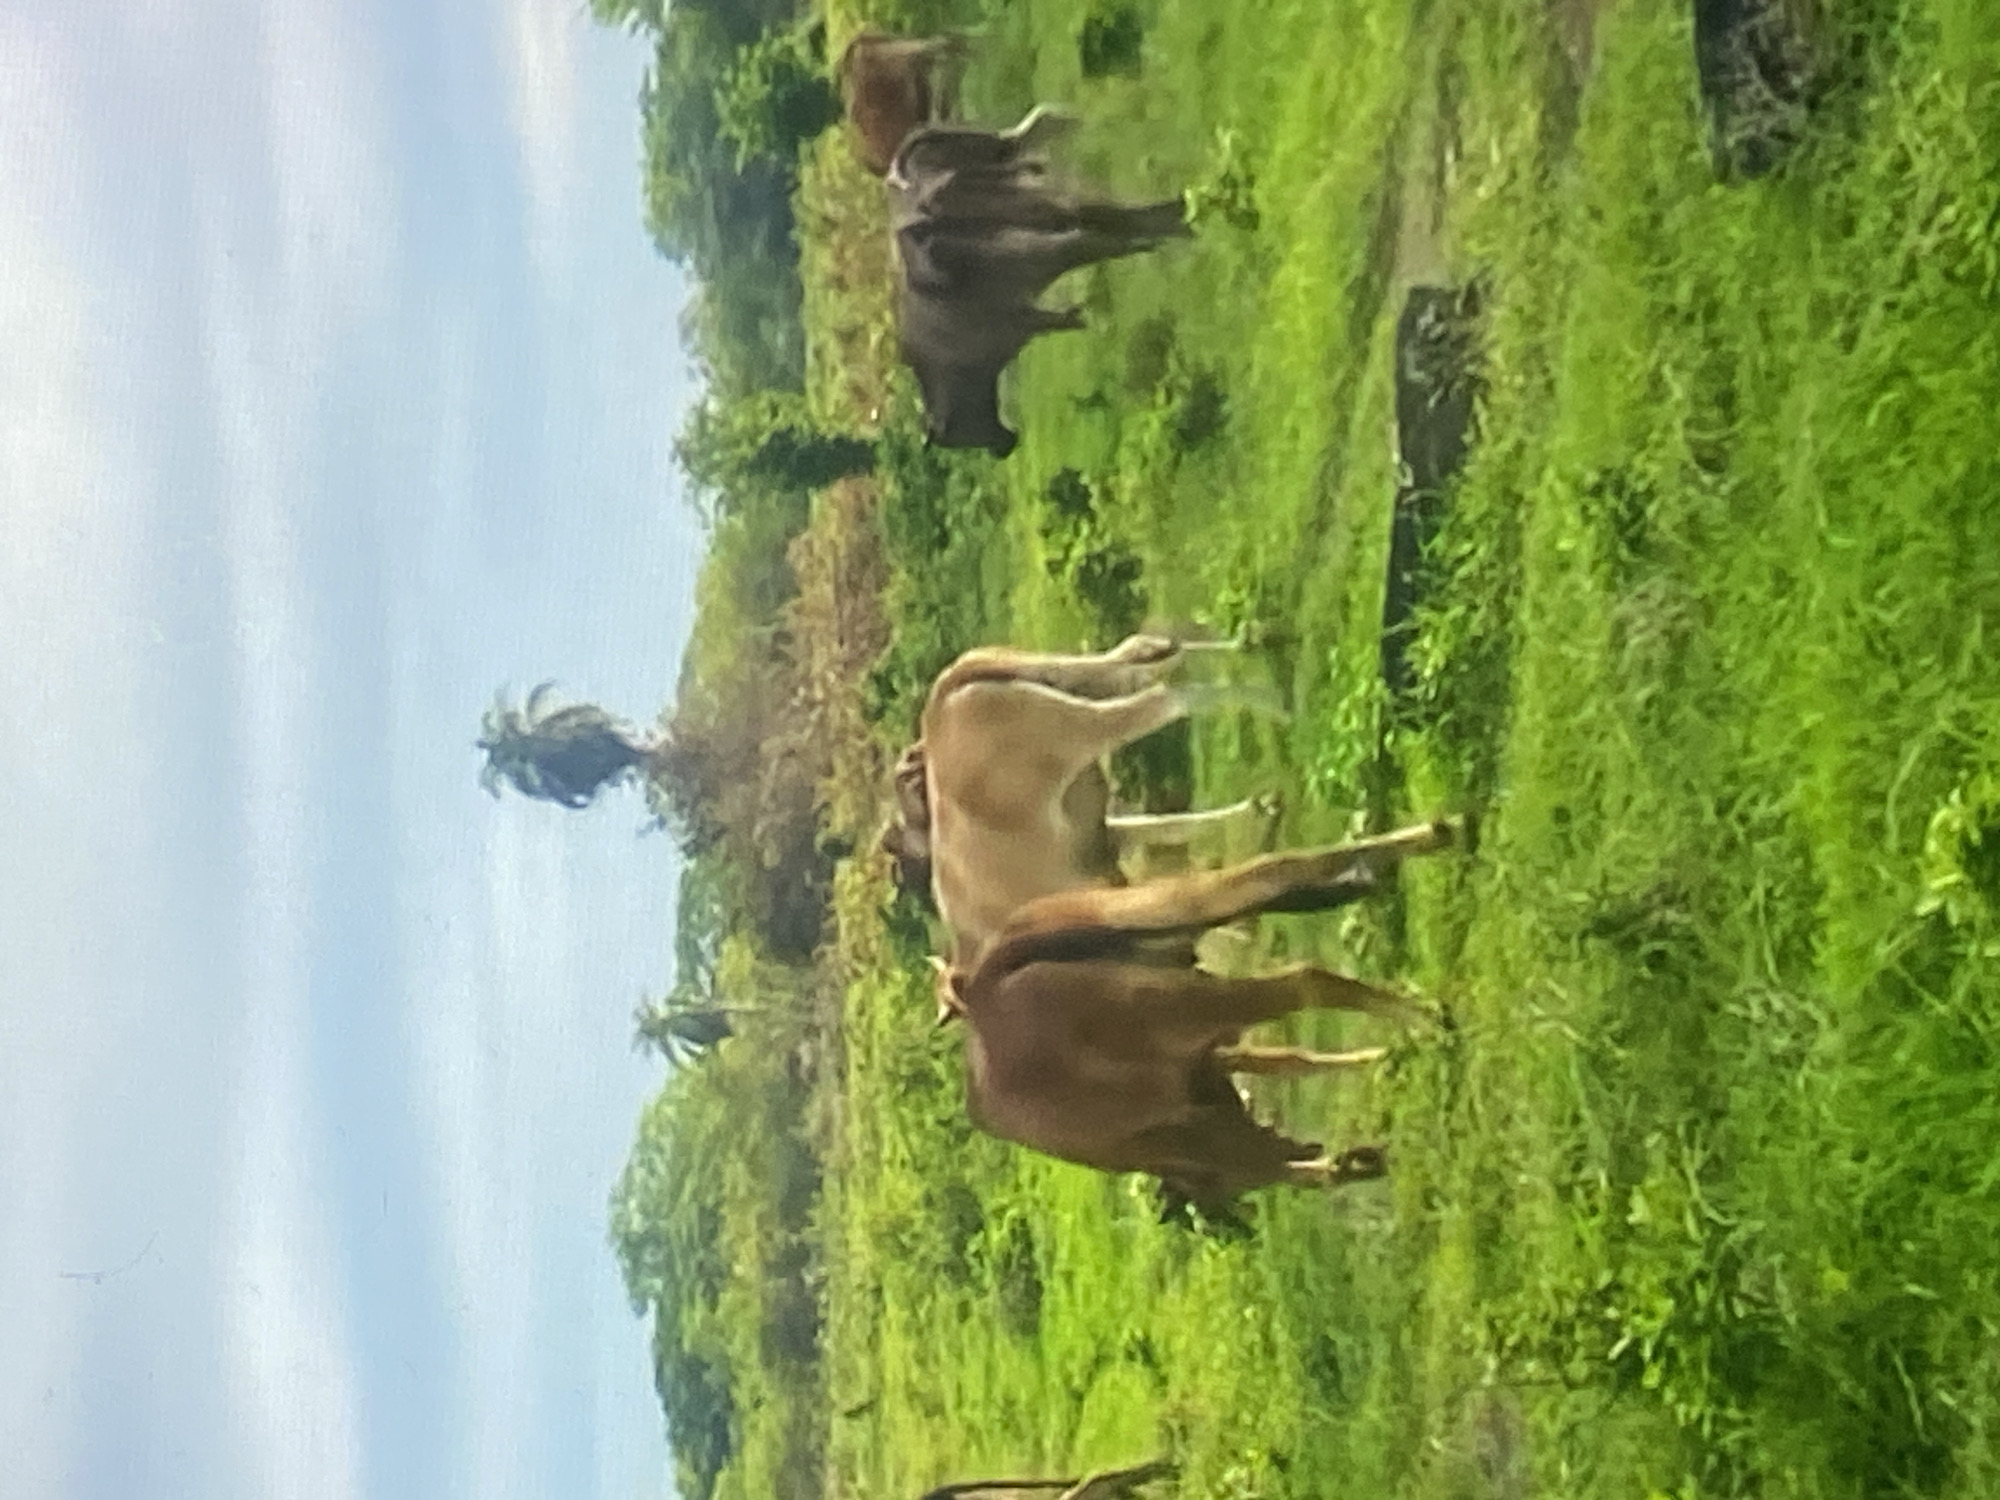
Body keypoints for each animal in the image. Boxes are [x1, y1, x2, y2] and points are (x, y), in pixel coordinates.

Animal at [889, 110, 1195, 455]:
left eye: (957, 436)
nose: (1005, 446)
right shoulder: (1030, 315)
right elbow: (1071, 318)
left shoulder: (1021, 316)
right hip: (1037, 204)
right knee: (1098, 215)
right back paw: (1178, 216)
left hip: (1030, 244)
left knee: (1088, 235)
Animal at [936, 821, 1465, 1208]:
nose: (1365, 1160)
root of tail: (982, 982)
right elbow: (1292, 1062)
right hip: (1160, 910)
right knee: (1279, 871)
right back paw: (1438, 834)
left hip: (1175, 985)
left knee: (1306, 978)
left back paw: (1431, 1022)